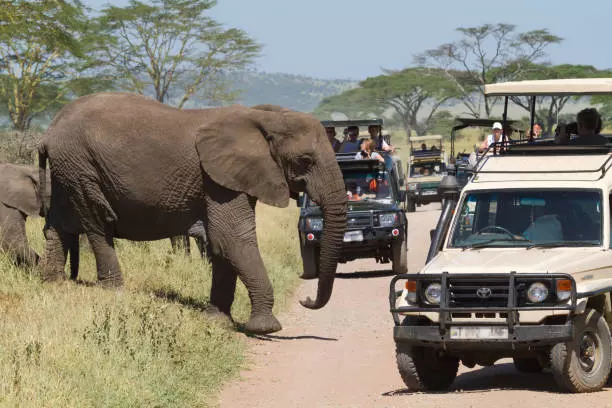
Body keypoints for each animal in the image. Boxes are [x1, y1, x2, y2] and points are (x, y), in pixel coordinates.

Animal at [39, 93, 350, 334]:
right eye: (305, 160)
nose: (306, 300)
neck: (262, 118)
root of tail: (49, 131)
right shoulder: (218, 179)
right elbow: (232, 238)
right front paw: (264, 328)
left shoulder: (227, 178)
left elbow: (222, 242)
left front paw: (217, 321)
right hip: (81, 165)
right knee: (97, 221)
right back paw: (113, 291)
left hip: (67, 169)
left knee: (58, 225)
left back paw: (53, 282)